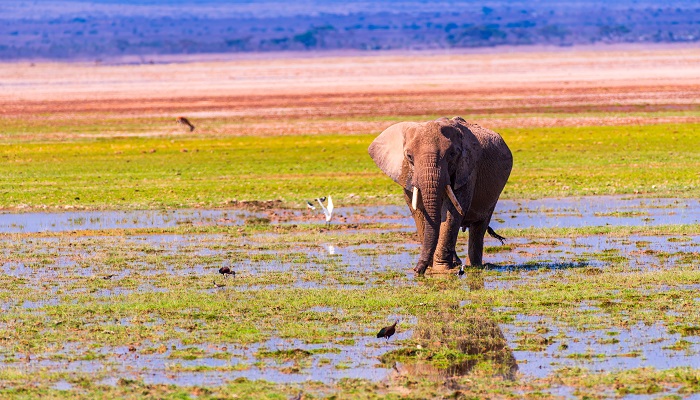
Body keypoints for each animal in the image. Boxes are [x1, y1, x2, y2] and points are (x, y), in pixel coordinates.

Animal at [370, 117, 512, 276]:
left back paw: (473, 266)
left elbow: (452, 212)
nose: (416, 270)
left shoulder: (467, 170)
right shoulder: (406, 174)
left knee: (479, 225)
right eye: (409, 157)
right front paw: (432, 267)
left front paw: (441, 269)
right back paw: (459, 263)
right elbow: (419, 212)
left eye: (452, 155)